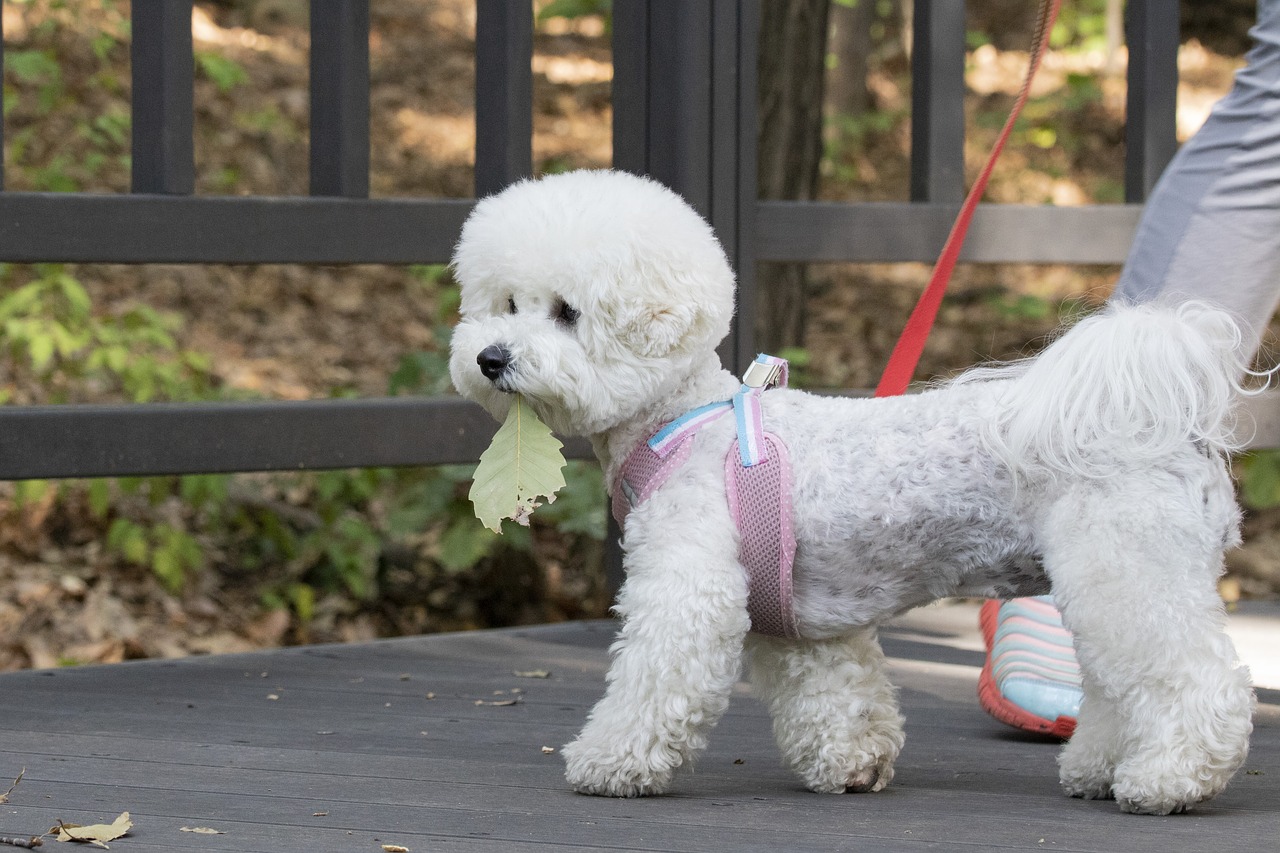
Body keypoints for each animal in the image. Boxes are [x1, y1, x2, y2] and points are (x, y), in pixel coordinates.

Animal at [450, 166, 1259, 809]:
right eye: (504, 304)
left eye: (566, 312)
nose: (490, 357)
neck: (681, 420)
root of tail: (1168, 426)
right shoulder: (803, 621)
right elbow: (835, 694)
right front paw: (851, 765)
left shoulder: (689, 590)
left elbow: (654, 680)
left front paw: (609, 762)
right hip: (1106, 580)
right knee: (1119, 685)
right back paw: (1101, 768)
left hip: (1131, 570)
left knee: (1198, 680)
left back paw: (1171, 778)